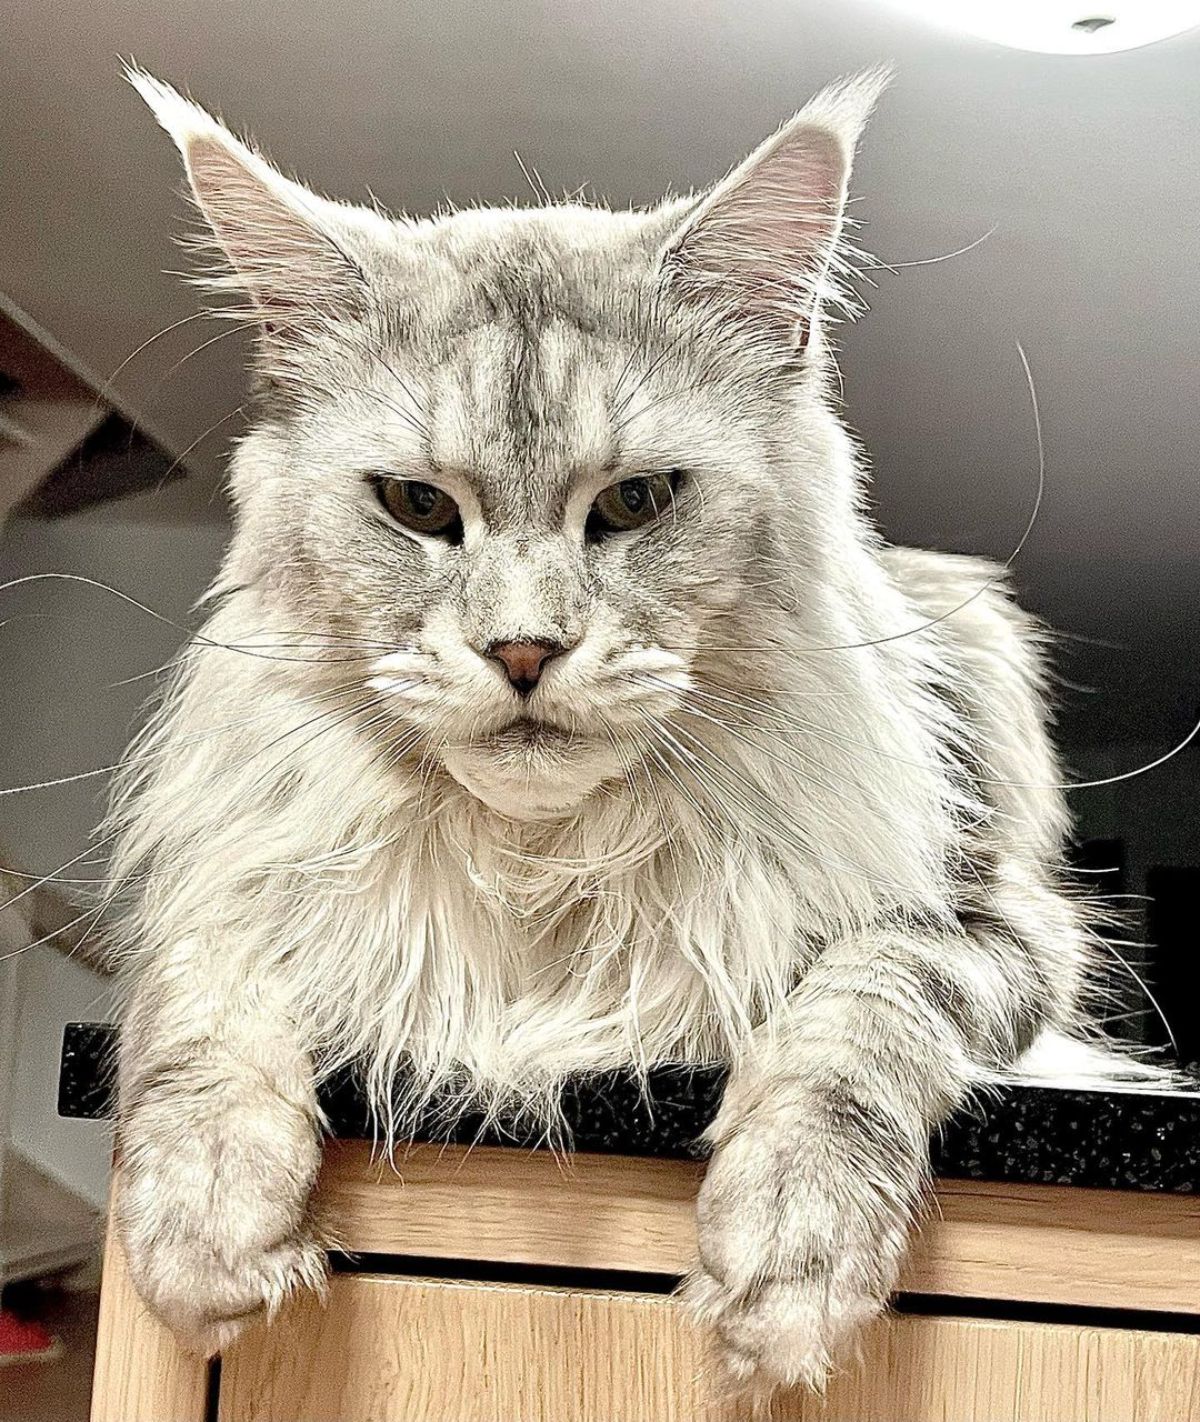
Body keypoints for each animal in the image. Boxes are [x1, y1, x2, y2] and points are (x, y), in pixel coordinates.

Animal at [110, 66, 1143, 1387]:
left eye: (637, 502)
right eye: (416, 506)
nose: (523, 651)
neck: (540, 868)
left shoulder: (993, 918)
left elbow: (861, 1007)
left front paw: (790, 1250)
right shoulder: (235, 869)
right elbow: (199, 991)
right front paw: (204, 1219)